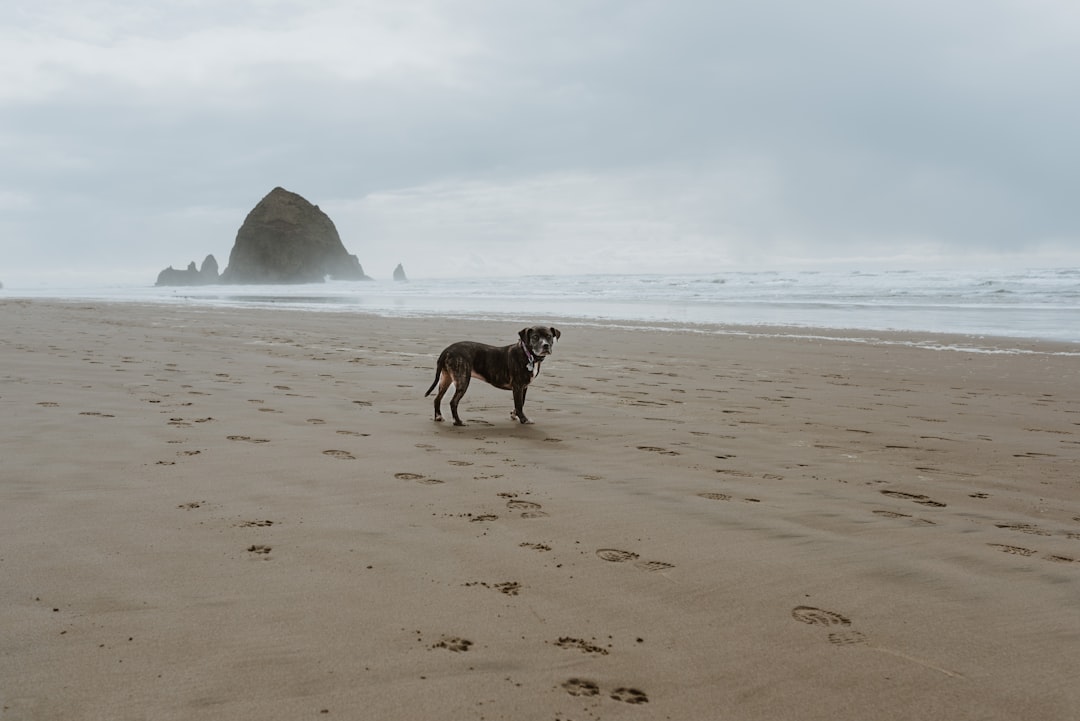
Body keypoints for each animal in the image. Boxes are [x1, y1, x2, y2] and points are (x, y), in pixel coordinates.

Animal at [421, 328, 561, 425]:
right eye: (535, 337)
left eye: (549, 336)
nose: (545, 345)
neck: (528, 354)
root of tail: (447, 350)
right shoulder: (518, 386)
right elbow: (519, 404)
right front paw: (524, 420)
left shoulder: (524, 387)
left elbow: (521, 402)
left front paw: (514, 414)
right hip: (462, 380)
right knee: (453, 402)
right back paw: (458, 422)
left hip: (446, 378)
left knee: (437, 398)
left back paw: (438, 417)